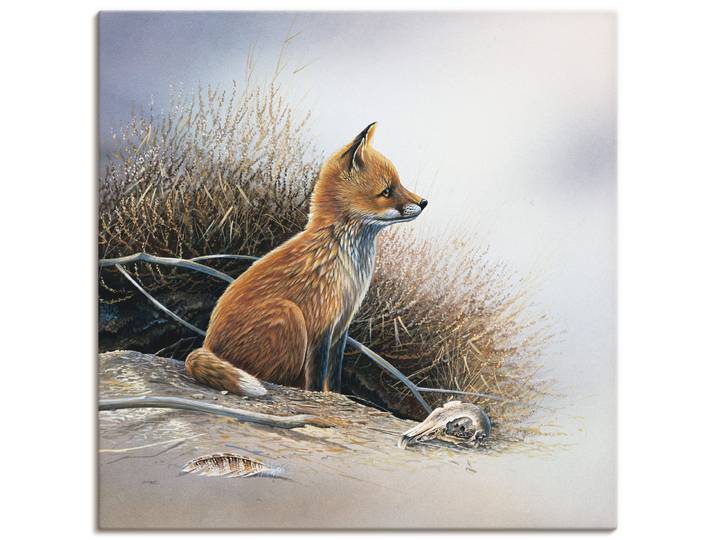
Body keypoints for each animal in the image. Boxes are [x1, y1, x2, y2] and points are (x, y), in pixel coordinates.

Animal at [185, 123, 428, 396]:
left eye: (399, 183)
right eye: (386, 191)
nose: (424, 202)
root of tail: (207, 344)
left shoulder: (341, 329)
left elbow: (334, 376)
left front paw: (336, 396)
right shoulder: (321, 326)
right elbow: (317, 379)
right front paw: (319, 397)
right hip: (290, 316)